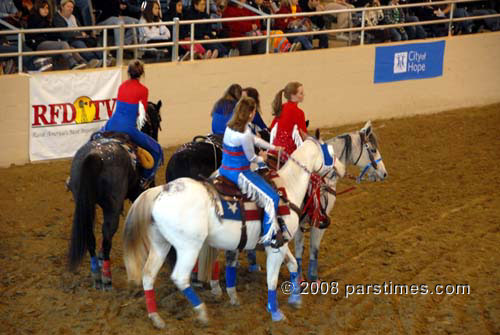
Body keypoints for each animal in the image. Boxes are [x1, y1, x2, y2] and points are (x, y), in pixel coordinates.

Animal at [67, 99, 162, 288]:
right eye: (158, 120)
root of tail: (95, 155)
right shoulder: (140, 192)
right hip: (113, 206)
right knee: (107, 235)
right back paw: (106, 276)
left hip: (85, 204)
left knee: (90, 235)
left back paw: (96, 272)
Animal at [121, 138, 344, 330]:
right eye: (332, 153)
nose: (342, 169)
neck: (287, 188)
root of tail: (160, 191)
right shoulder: (276, 248)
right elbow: (272, 280)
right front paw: (276, 312)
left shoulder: (278, 244)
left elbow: (293, 265)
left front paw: (295, 299)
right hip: (188, 248)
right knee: (180, 277)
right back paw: (202, 313)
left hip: (160, 245)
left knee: (148, 275)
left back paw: (156, 318)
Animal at [294, 121, 388, 280]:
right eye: (373, 150)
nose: (384, 173)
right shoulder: (317, 220)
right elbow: (313, 249)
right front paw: (312, 278)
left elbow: (300, 249)